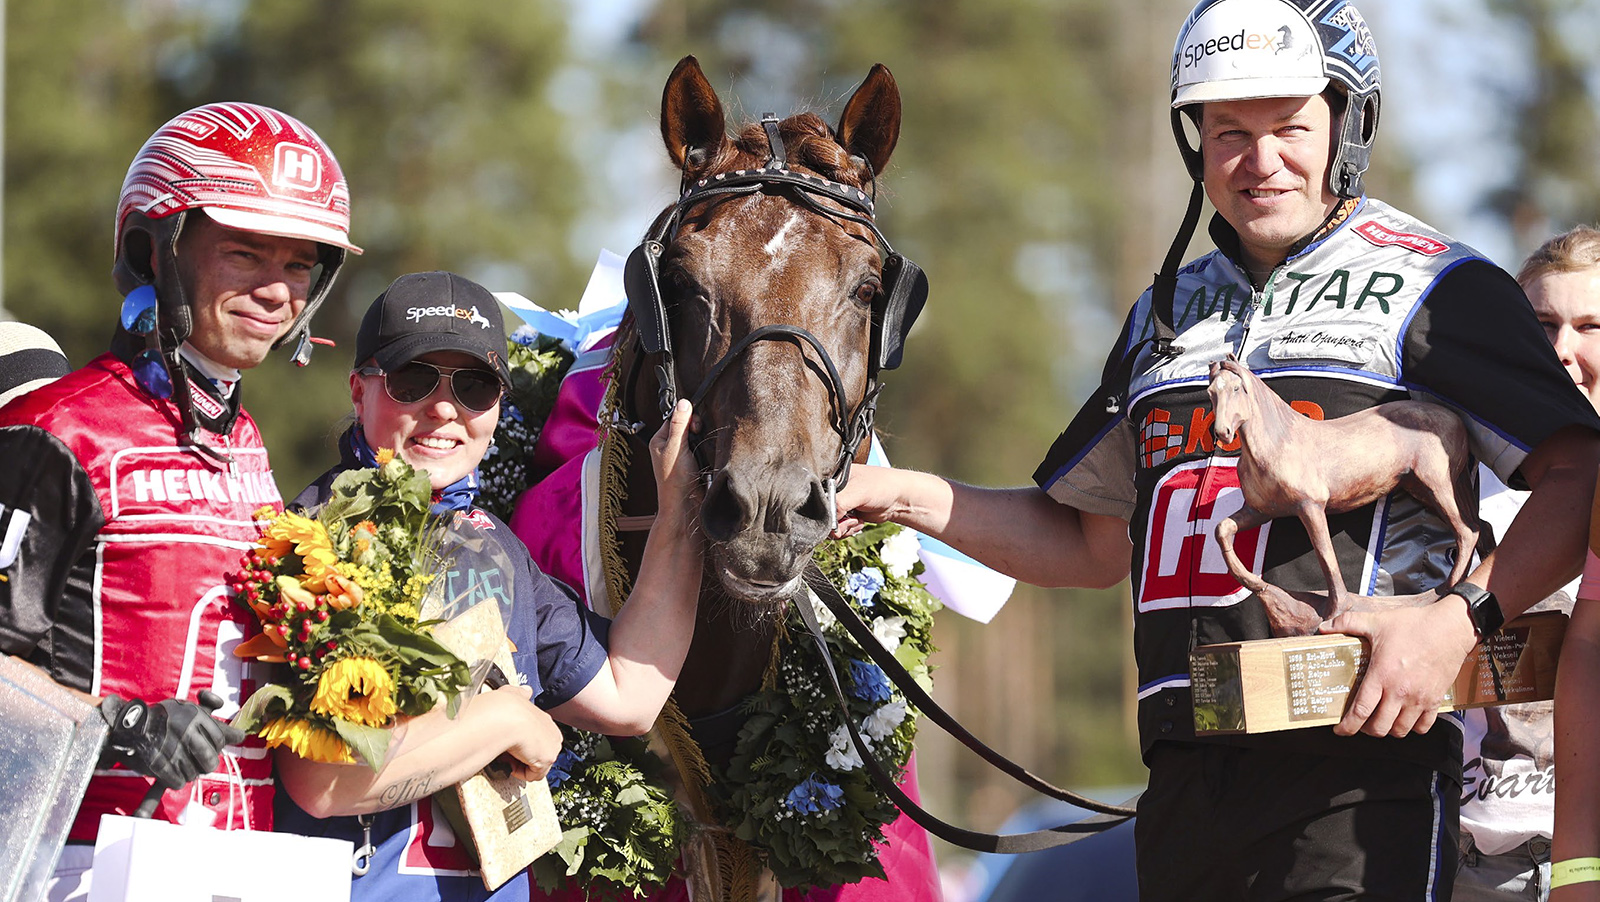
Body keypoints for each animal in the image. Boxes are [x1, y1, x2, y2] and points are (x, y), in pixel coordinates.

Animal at [1209, 353, 1472, 633]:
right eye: (1212, 392)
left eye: (1237, 388)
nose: (1223, 433)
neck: (1279, 443)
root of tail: (1456, 420)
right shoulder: (1259, 511)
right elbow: (1222, 529)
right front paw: (1259, 586)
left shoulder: (1310, 507)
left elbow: (1326, 556)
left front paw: (1333, 613)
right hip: (1421, 489)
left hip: (1438, 486)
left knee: (1467, 533)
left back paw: (1442, 592)